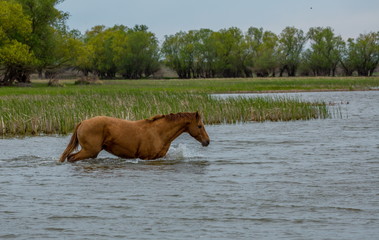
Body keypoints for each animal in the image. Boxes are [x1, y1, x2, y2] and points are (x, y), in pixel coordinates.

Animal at [59, 112, 211, 161]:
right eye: (199, 126)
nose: (207, 141)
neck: (159, 132)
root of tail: (83, 122)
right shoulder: (146, 157)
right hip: (90, 151)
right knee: (71, 158)